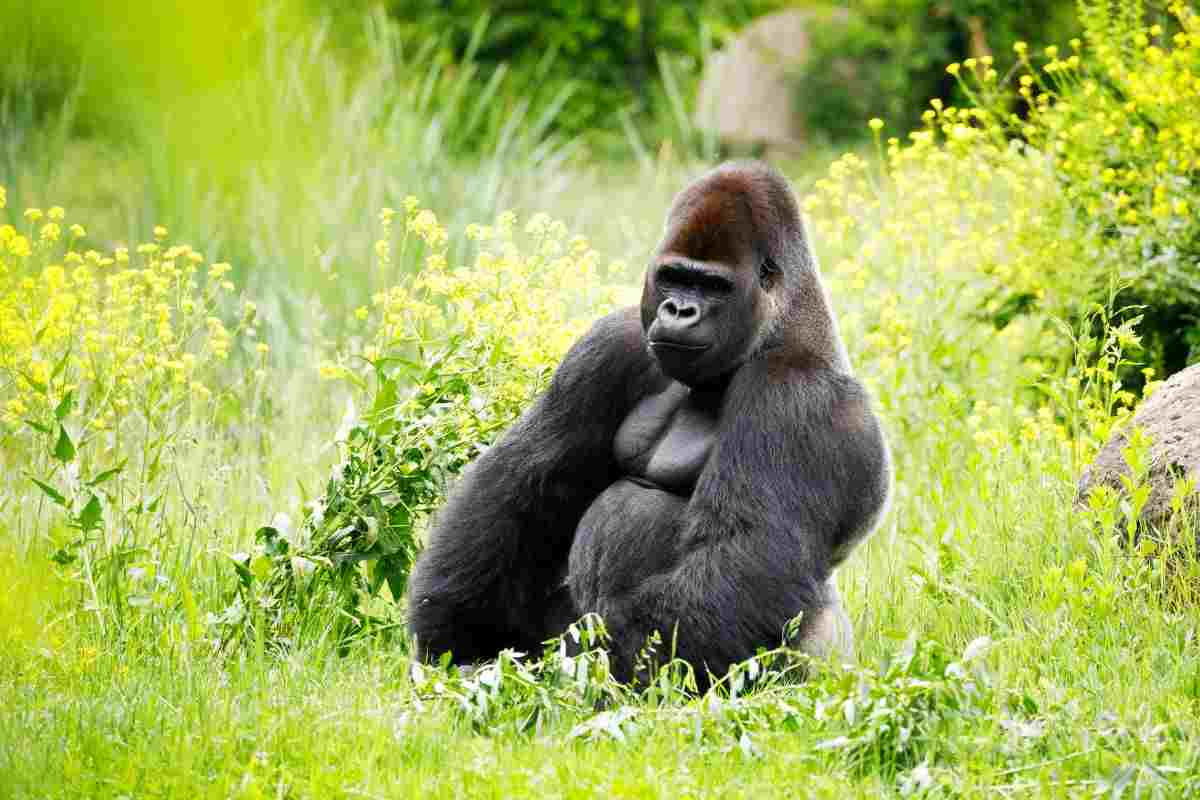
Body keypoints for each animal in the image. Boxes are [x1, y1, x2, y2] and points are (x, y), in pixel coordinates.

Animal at [410, 160, 892, 690]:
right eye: (673, 277)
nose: (679, 310)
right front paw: (455, 629)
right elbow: (521, 491)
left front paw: (559, 674)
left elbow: (744, 557)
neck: (778, 326)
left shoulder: (793, 396)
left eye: (713, 286)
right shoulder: (611, 344)